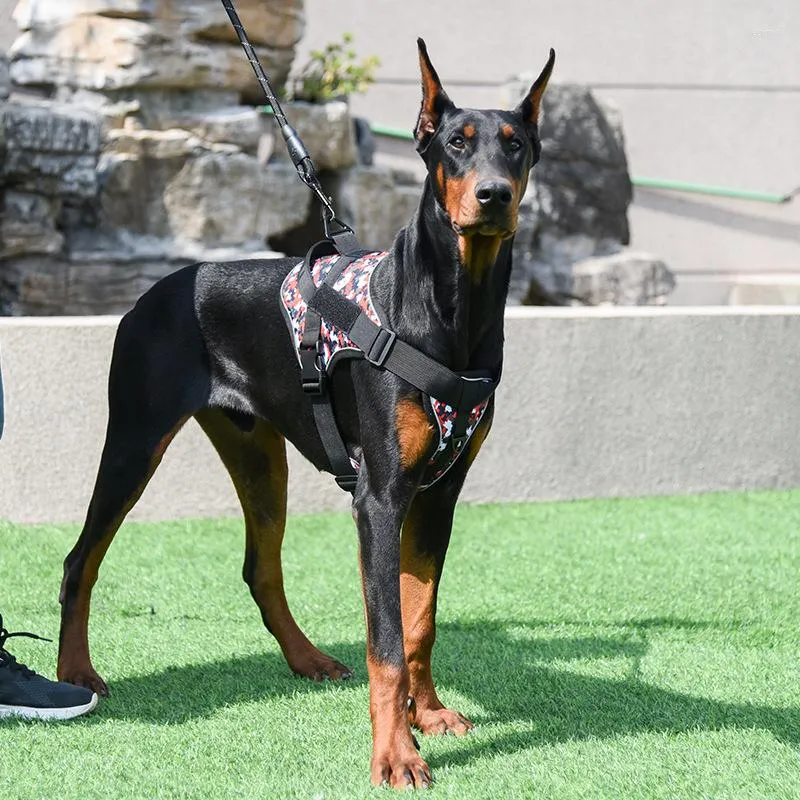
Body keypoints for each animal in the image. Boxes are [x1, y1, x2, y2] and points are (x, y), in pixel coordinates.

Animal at [57, 39, 556, 788]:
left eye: (516, 145)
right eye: (456, 144)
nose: (493, 196)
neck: (451, 306)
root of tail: (161, 286)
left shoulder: (438, 496)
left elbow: (420, 619)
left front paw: (429, 714)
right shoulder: (379, 497)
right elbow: (386, 637)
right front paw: (396, 753)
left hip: (259, 456)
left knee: (259, 568)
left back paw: (308, 659)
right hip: (134, 442)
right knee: (79, 562)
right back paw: (76, 673)